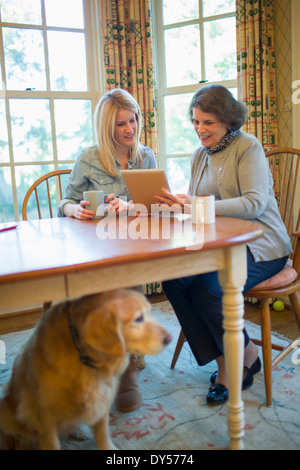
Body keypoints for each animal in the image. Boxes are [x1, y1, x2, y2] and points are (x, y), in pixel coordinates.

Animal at [0, 288, 171, 450]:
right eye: (138, 318)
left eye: (149, 312)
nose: (170, 338)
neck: (84, 358)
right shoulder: (43, 416)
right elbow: (52, 443)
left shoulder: (103, 399)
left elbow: (102, 433)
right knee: (20, 439)